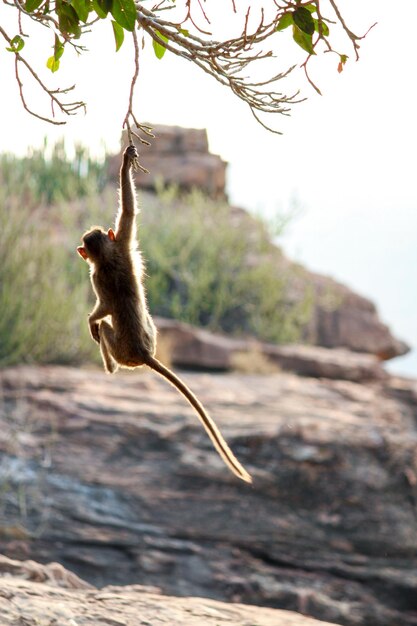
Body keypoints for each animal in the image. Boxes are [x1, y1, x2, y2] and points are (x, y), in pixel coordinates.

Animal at [77, 143, 252, 482]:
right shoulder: (122, 244)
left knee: (104, 328)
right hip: (151, 334)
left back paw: (109, 367)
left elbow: (102, 308)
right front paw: (127, 161)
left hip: (121, 350)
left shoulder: (99, 273)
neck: (107, 257)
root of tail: (143, 354)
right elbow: (129, 213)